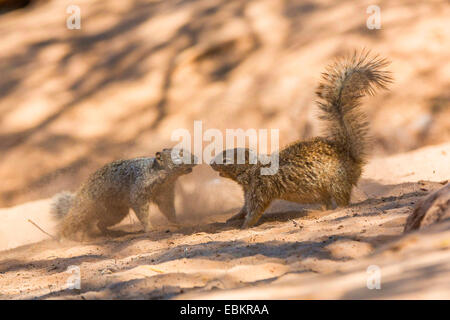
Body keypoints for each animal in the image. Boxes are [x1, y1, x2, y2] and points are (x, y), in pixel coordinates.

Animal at [50, 148, 195, 240]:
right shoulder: (139, 193)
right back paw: (63, 238)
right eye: (179, 154)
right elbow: (142, 212)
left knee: (100, 224)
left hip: (116, 213)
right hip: (85, 208)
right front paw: (149, 228)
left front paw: (177, 223)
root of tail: (80, 192)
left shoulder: (165, 194)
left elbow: (169, 210)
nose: (196, 158)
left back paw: (113, 233)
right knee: (70, 221)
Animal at [210, 50, 390, 229]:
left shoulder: (259, 189)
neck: (253, 168)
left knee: (342, 201)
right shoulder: (249, 191)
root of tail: (348, 154)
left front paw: (245, 226)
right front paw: (233, 218)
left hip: (337, 184)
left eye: (225, 159)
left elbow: (255, 211)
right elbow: (244, 208)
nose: (211, 163)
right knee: (327, 203)